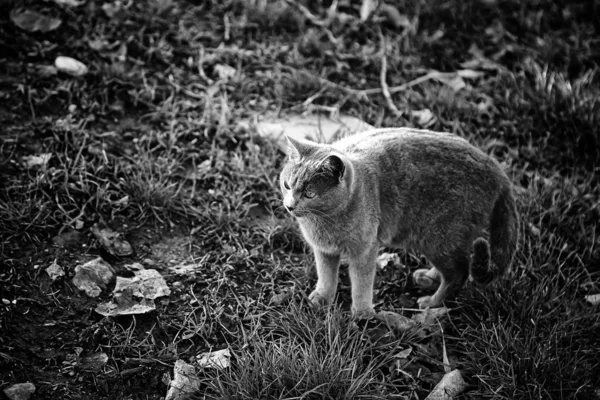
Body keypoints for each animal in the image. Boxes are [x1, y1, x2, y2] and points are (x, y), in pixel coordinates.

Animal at [278, 126, 516, 318]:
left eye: (309, 194)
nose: (289, 206)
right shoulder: (323, 250)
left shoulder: (365, 250)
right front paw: (322, 298)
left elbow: (361, 282)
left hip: (439, 235)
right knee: (456, 266)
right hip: (441, 241)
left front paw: (362, 313)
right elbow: (326, 275)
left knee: (459, 273)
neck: (323, 222)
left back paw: (432, 303)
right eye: (287, 185)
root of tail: (499, 172)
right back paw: (428, 277)